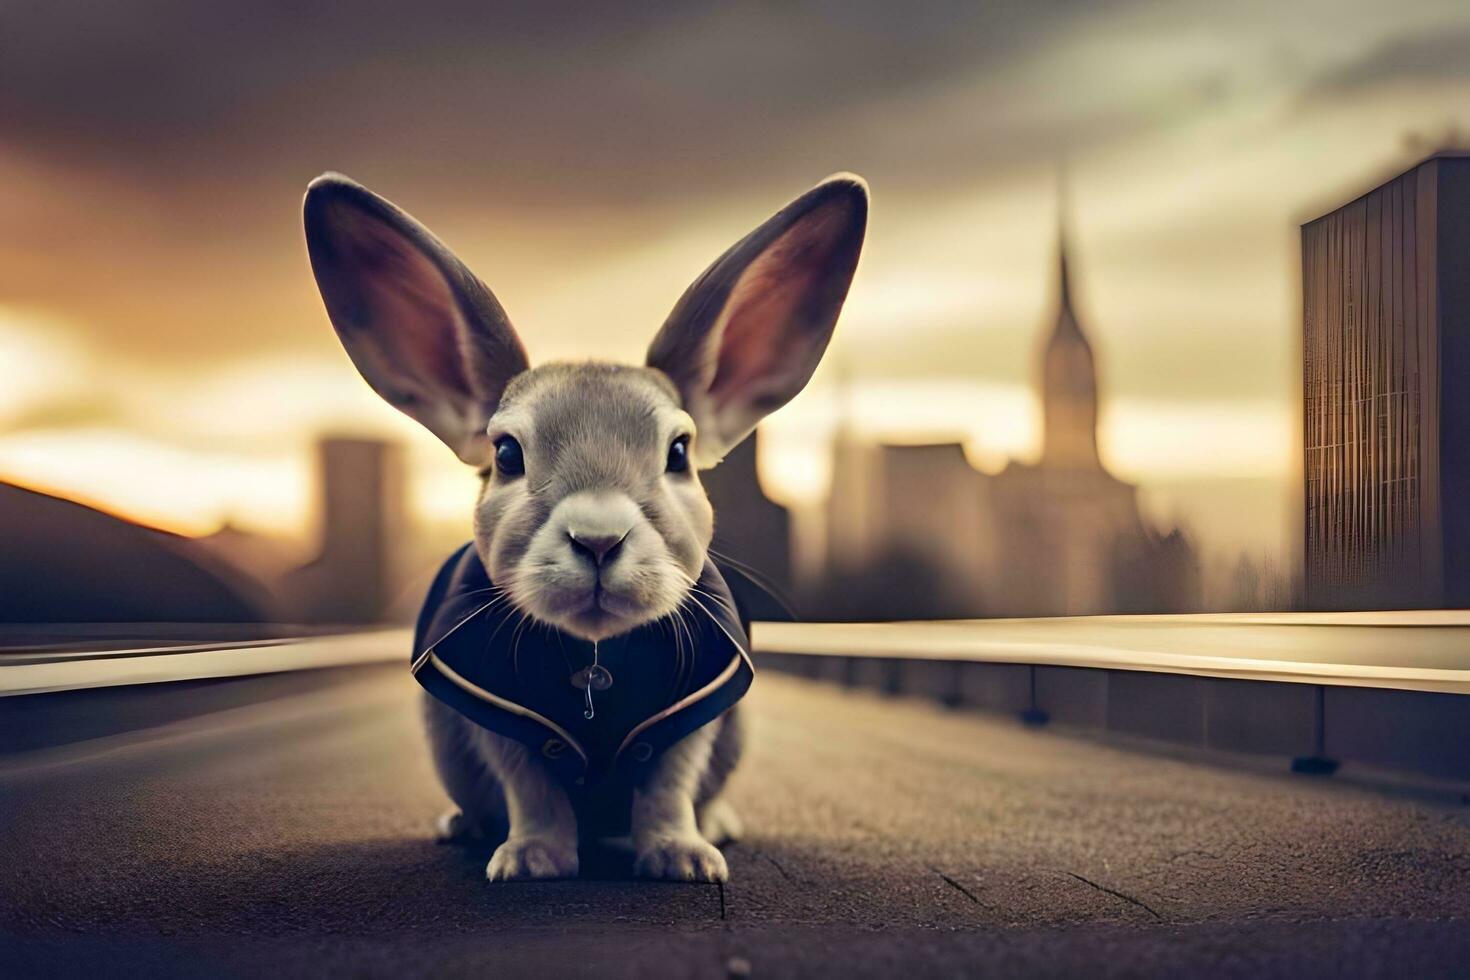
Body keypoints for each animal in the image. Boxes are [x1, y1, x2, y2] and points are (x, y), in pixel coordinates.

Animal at [302, 168, 864, 881]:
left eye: (679, 453)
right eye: (506, 455)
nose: (598, 539)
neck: (596, 660)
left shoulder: (690, 722)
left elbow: (668, 787)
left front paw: (683, 859)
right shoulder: (503, 723)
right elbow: (531, 787)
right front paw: (531, 861)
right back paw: (463, 826)